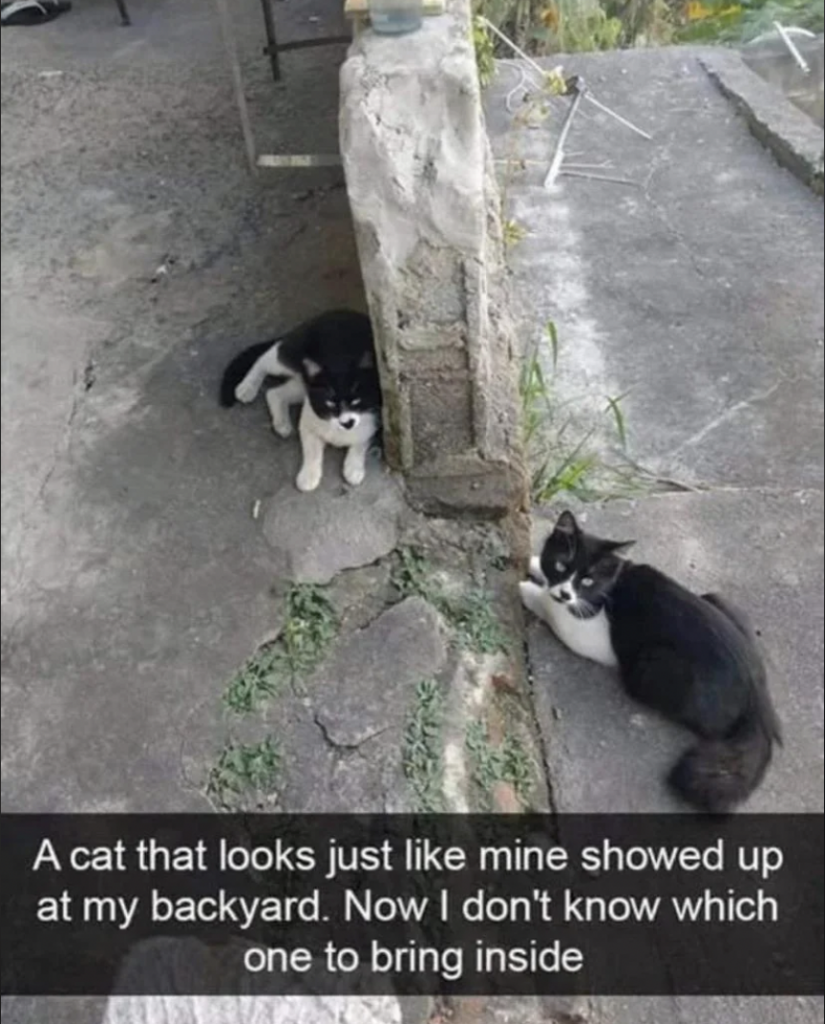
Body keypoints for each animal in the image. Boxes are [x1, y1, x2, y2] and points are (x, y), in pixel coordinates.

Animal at [221, 307, 386, 491]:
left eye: (356, 401)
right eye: (331, 403)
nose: (347, 422)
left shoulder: (374, 416)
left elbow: (360, 442)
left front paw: (354, 468)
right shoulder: (309, 420)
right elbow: (312, 450)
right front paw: (308, 476)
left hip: (304, 386)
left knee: (274, 392)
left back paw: (282, 423)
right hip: (292, 355)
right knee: (264, 358)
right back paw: (247, 387)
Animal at [519, 507, 786, 811]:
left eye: (587, 580)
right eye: (562, 566)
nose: (565, 593)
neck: (611, 584)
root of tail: (759, 701)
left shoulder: (592, 634)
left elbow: (553, 610)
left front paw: (526, 589)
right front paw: (533, 563)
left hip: (650, 664)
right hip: (717, 599)